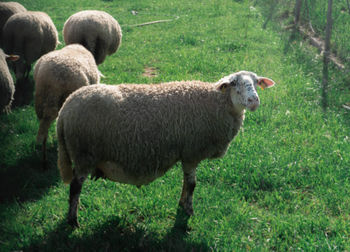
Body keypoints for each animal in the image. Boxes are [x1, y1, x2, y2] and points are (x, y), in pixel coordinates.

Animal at [56, 70, 276, 226]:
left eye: (256, 82)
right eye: (234, 83)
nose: (254, 101)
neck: (217, 104)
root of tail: (65, 109)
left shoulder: (187, 153)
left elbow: (186, 183)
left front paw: (182, 204)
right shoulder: (191, 152)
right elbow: (192, 184)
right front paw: (189, 211)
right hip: (84, 154)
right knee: (75, 187)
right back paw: (73, 221)